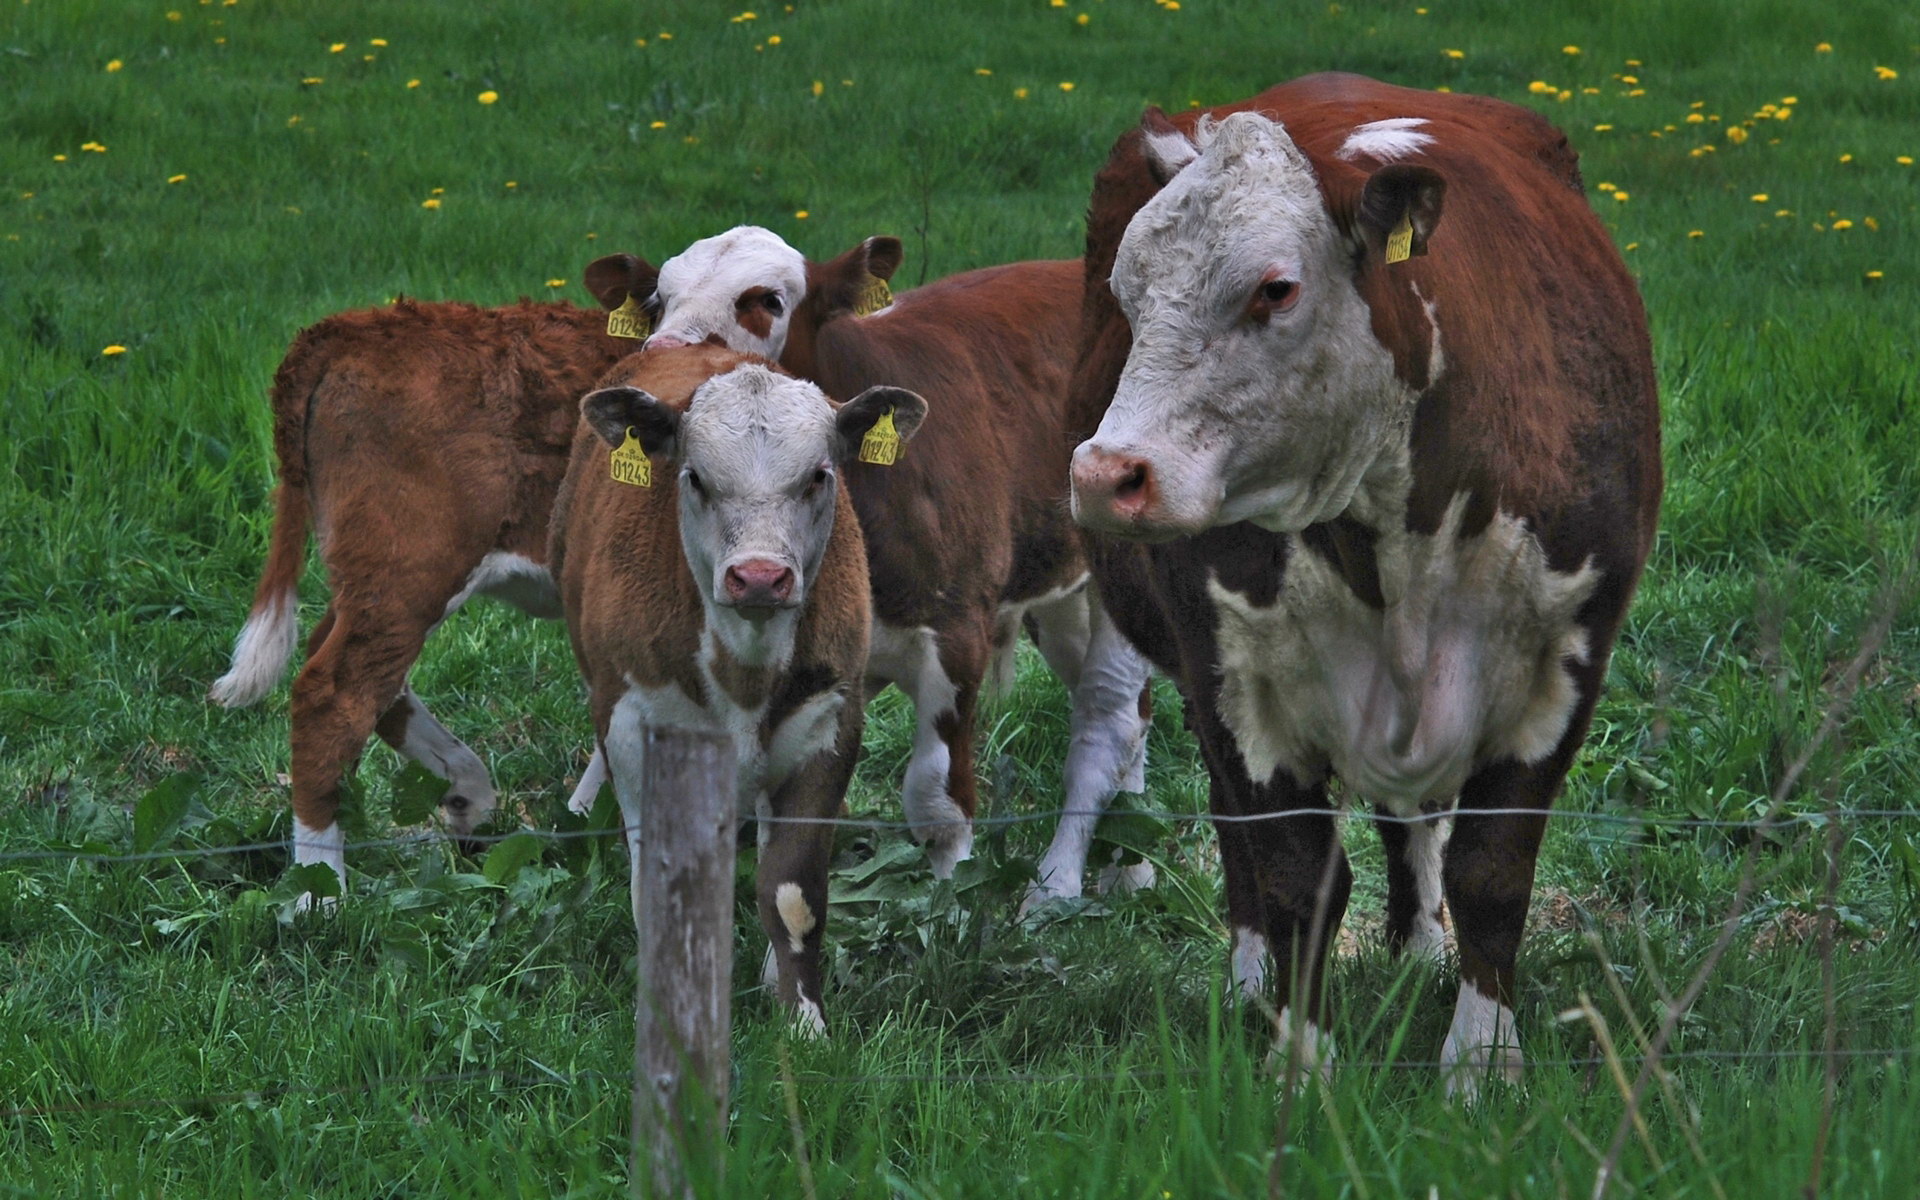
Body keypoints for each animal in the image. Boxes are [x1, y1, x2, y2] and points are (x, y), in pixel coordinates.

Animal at [211, 299, 645, 890]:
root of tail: (353, 327)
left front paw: (585, 819)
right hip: (415, 564)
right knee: (333, 694)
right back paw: (321, 891)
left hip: (380, 575)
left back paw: (465, 791)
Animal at [549, 339, 929, 1029]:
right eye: (695, 477)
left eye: (819, 475)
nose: (758, 577)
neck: (745, 669)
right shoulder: (632, 725)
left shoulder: (829, 724)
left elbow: (792, 891)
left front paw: (803, 1019)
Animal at [583, 229, 1152, 906]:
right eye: (657, 300)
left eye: (766, 300)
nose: (665, 353)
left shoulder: (957, 631)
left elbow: (936, 800)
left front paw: (949, 907)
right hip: (1061, 588)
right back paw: (1131, 863)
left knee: (1109, 719)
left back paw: (1058, 884)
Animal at [1075, 70, 1658, 1090]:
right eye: (1126, 290)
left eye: (1275, 288)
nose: (1109, 474)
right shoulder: (1233, 675)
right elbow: (1294, 875)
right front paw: (1300, 1062)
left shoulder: (1564, 661)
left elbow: (1490, 871)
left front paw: (1482, 1059)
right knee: (1240, 831)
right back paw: (1248, 979)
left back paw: (1420, 947)